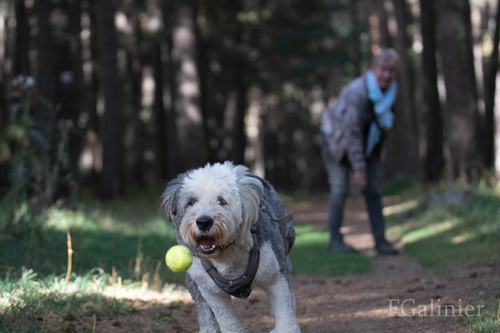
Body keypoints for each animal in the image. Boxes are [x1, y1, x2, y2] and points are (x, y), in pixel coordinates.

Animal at [161, 160, 300, 330]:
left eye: (222, 200)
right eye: (191, 202)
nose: (203, 222)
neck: (227, 257)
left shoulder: (275, 277)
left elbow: (285, 314)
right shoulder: (211, 291)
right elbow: (228, 322)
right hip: (193, 282)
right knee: (204, 311)